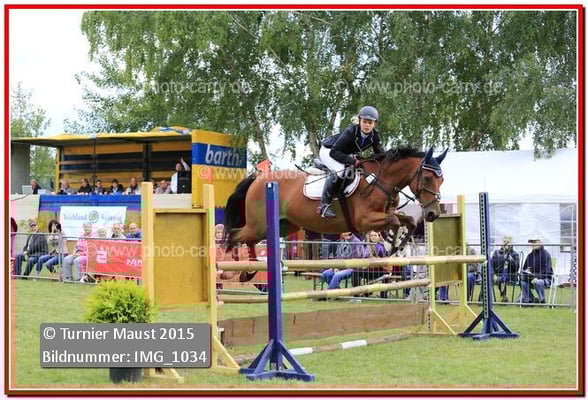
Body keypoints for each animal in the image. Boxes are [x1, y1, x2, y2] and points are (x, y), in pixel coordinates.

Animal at [222, 147, 447, 262]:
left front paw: (396, 244)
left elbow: (408, 221)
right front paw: (391, 240)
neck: (380, 180)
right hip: (258, 225)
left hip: (284, 226)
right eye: (428, 178)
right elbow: (393, 221)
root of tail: (258, 178)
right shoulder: (364, 220)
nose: (433, 214)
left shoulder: (385, 214)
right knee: (235, 236)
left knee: (247, 239)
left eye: (442, 180)